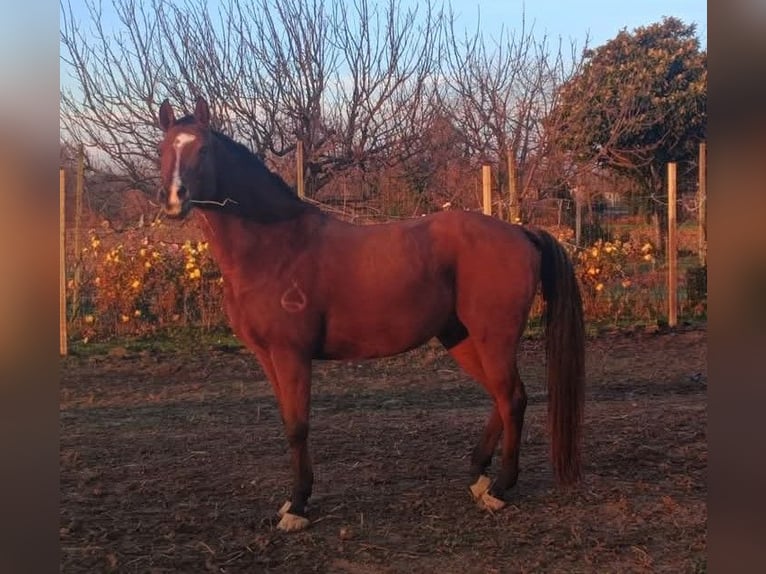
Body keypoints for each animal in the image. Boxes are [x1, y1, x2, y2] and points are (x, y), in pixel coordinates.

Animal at [157, 97, 585, 532]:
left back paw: (500, 488)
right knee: (500, 397)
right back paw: (479, 478)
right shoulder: (267, 356)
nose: (173, 198)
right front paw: (293, 501)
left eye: (203, 149)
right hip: (461, 337)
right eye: (163, 149)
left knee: (512, 398)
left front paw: (297, 506)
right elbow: (288, 422)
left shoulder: (291, 354)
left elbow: (298, 426)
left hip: (493, 337)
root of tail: (520, 232)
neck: (276, 246)